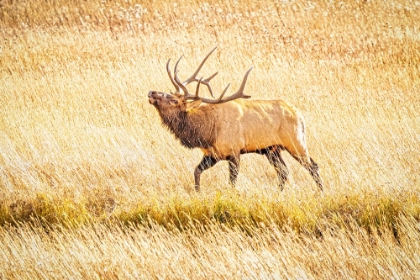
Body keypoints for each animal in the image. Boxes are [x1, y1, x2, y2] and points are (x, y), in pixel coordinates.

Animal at [149, 48, 324, 192]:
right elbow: (196, 171)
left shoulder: (234, 151)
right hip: (271, 149)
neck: (207, 133)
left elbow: (232, 182)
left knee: (312, 166)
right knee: (284, 171)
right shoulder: (212, 154)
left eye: (174, 100)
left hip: (295, 141)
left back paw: (320, 192)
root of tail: (300, 115)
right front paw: (197, 192)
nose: (151, 92)